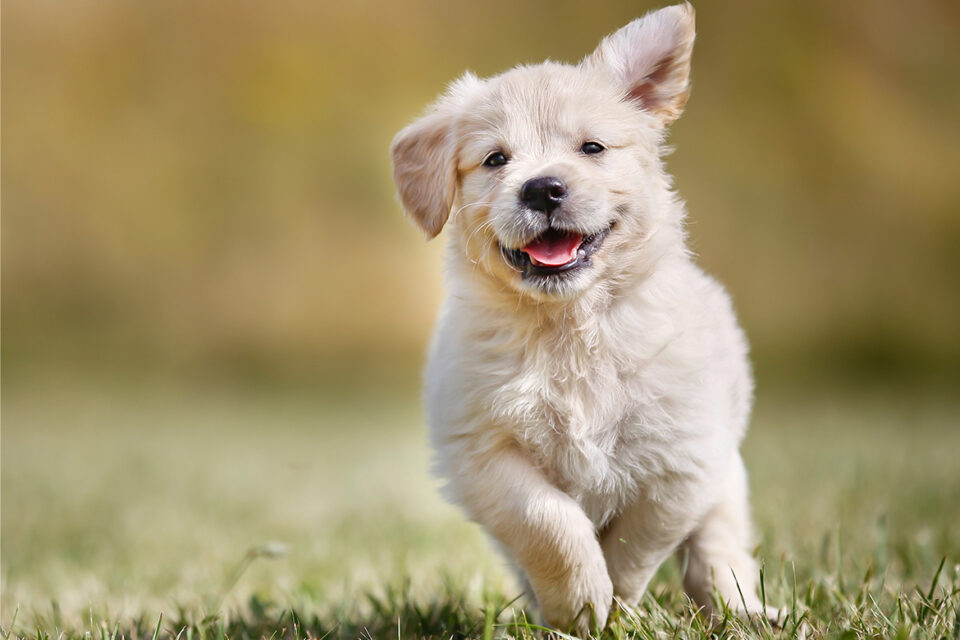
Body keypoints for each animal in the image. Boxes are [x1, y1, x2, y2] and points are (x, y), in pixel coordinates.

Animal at [390, 3, 772, 636]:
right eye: (496, 159)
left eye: (592, 148)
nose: (542, 188)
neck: (568, 325)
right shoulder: (482, 451)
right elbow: (549, 523)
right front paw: (580, 606)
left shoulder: (681, 461)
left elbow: (636, 544)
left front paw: (613, 607)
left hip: (727, 477)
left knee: (719, 549)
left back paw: (744, 610)